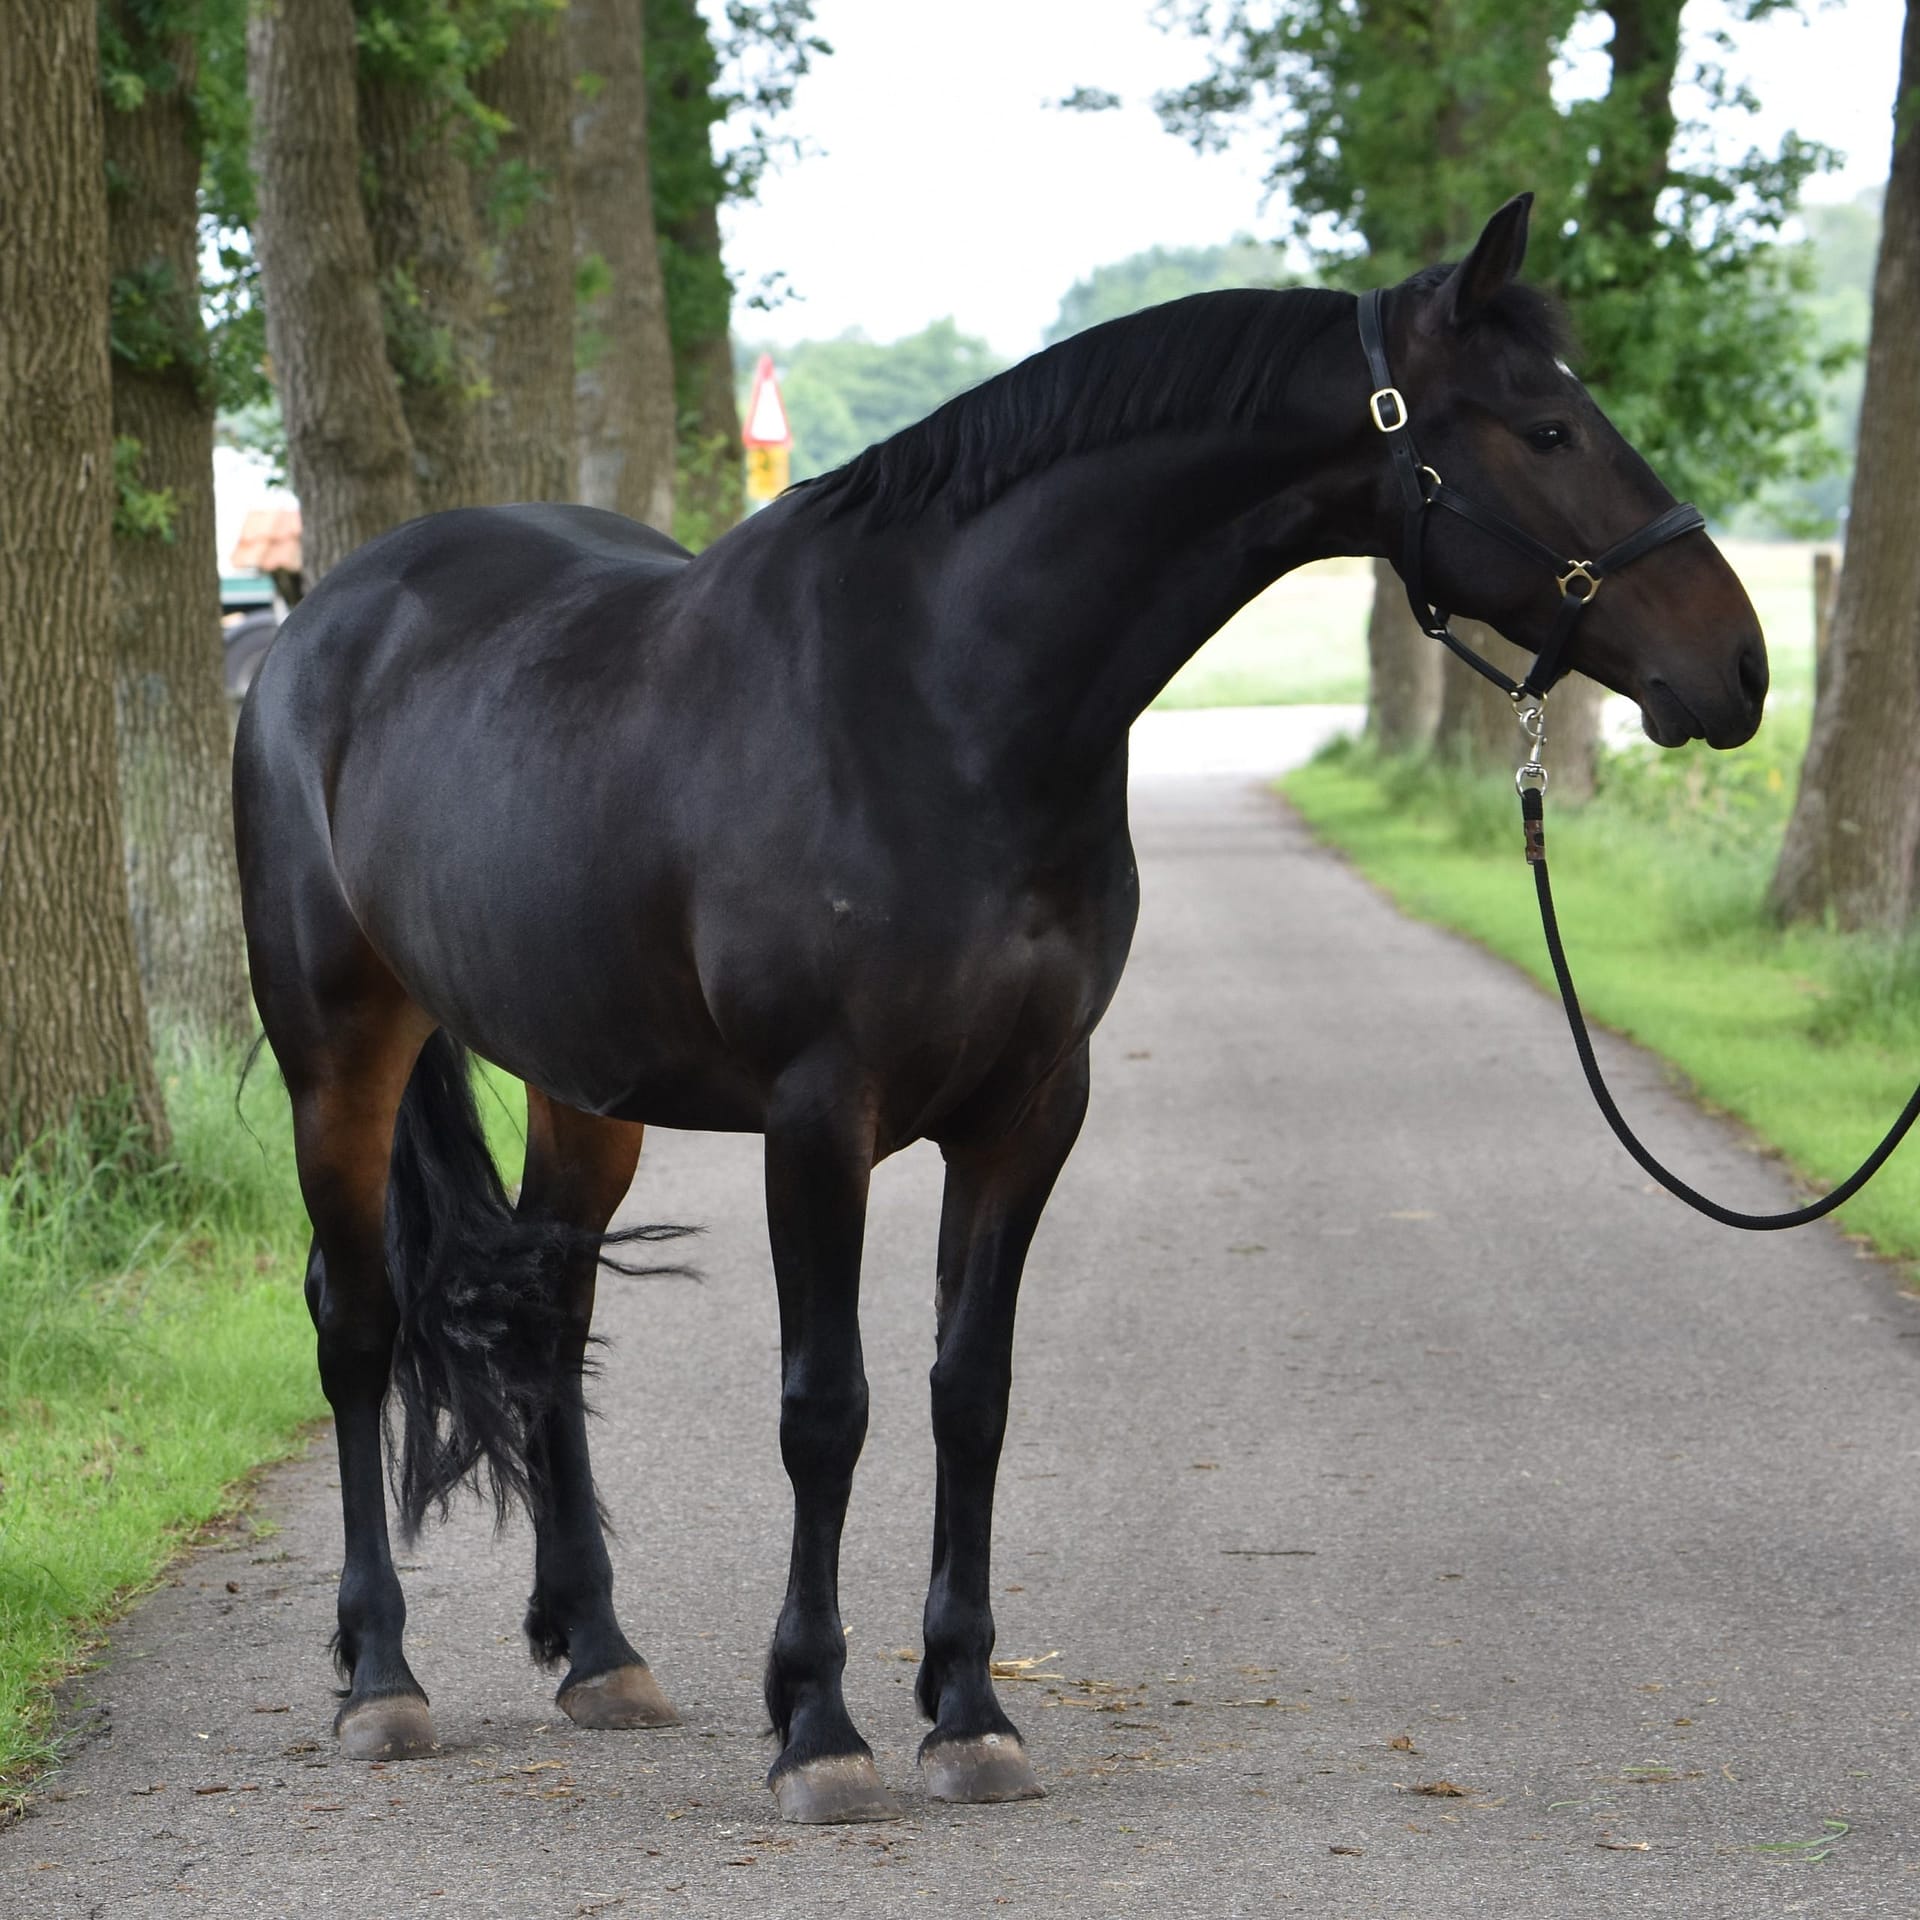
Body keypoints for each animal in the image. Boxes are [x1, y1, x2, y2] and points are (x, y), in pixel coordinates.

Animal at [233, 195, 1767, 1825]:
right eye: (1547, 427)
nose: (1739, 667)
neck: (938, 702)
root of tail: (322, 619)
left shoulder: (1031, 1108)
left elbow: (971, 1393)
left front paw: (968, 1711)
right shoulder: (816, 1118)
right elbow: (825, 1409)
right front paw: (819, 1727)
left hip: (585, 1085)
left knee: (553, 1313)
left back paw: (599, 1652)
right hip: (342, 1054)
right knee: (356, 1323)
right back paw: (381, 1679)